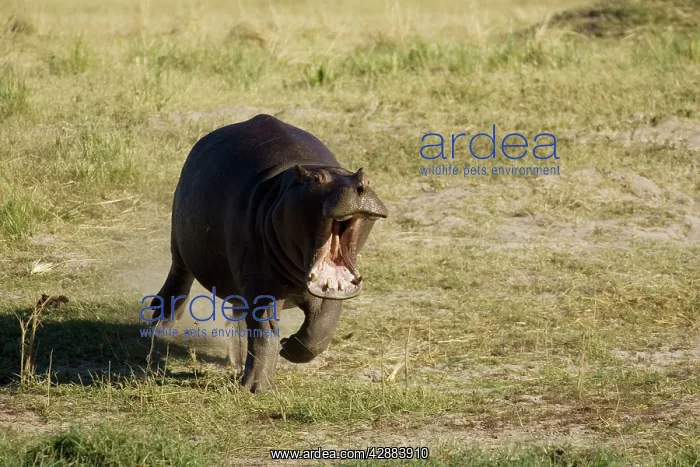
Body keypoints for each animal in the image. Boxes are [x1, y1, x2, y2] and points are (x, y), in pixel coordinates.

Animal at [148, 114, 388, 393]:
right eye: (316, 180)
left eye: (367, 178)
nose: (358, 186)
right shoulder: (261, 286)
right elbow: (264, 331)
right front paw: (257, 389)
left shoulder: (329, 289)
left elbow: (321, 329)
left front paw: (288, 349)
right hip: (181, 239)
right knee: (179, 278)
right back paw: (160, 325)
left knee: (237, 316)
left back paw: (236, 362)